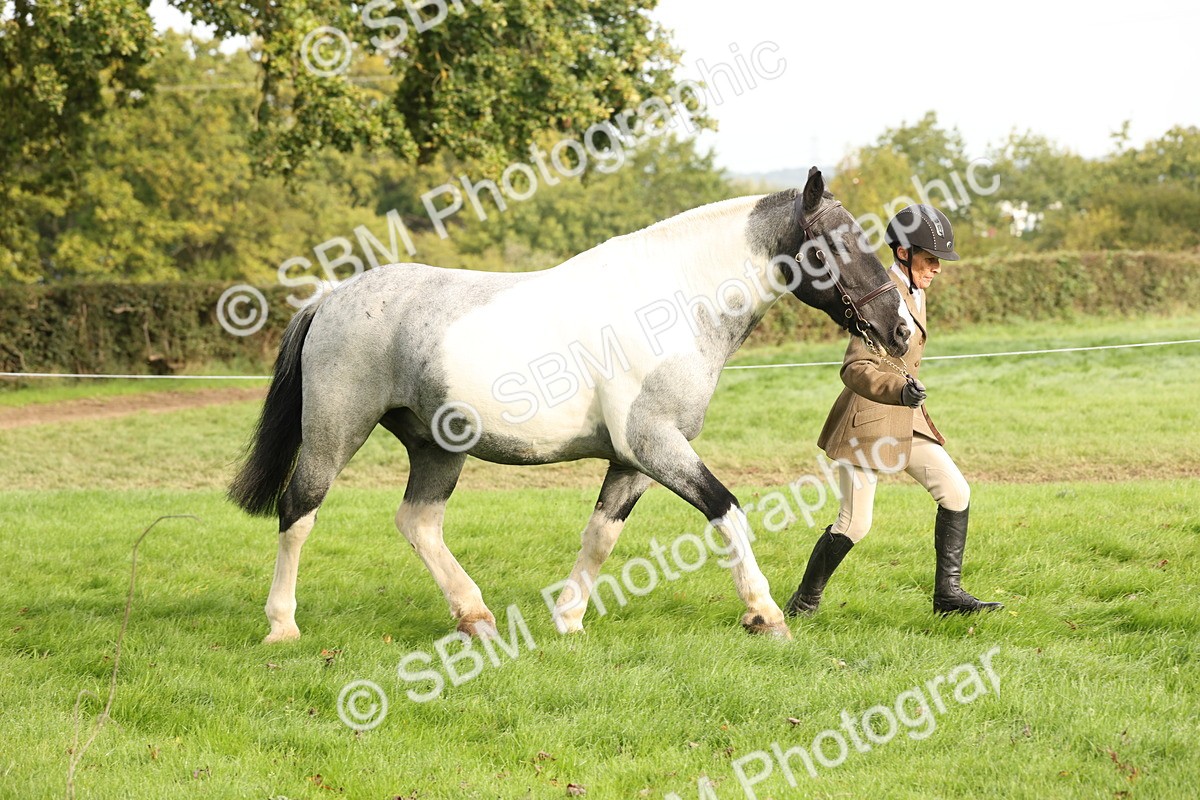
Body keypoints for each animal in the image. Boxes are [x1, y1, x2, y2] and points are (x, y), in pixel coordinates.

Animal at [229, 167, 914, 644]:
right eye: (835, 244)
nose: (901, 328)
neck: (672, 304)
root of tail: (333, 295)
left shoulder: (634, 459)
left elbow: (601, 535)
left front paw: (568, 619)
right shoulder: (656, 444)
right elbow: (726, 511)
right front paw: (765, 615)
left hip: (436, 445)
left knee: (418, 522)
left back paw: (476, 617)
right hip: (334, 433)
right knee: (298, 512)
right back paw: (282, 626)